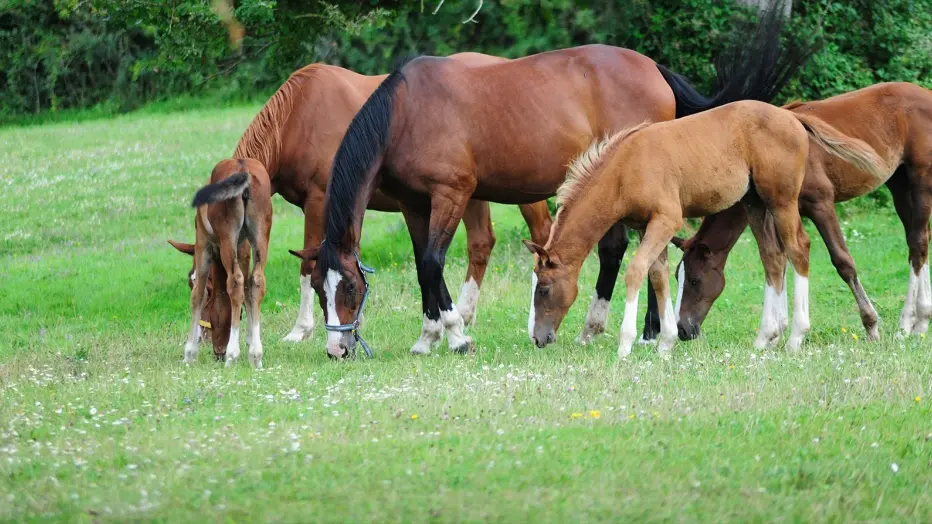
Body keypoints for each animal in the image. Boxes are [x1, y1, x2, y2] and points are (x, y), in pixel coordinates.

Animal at [180, 159, 272, 368]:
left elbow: (198, 294)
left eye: (190, 279)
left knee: (235, 282)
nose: (217, 352)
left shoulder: (203, 244)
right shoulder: (243, 249)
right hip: (261, 237)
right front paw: (250, 343)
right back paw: (256, 355)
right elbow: (248, 293)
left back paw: (232, 355)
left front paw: (189, 353)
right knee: (256, 282)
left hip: (227, 238)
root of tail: (243, 168)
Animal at [290, 1, 816, 356]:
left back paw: (640, 332)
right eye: (319, 288)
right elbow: (424, 264)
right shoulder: (412, 203)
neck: (406, 112)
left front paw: (456, 334)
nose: (337, 349)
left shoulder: (451, 195)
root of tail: (652, 67)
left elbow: (434, 263)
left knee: (624, 253)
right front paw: (428, 335)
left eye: (350, 289)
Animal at [524, 100, 888, 358]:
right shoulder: (646, 225)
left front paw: (626, 344)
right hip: (754, 203)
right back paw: (765, 337)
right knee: (772, 257)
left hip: (782, 200)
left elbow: (636, 270)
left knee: (798, 249)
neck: (624, 170)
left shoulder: (666, 219)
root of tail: (792, 118)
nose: (538, 338)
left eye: (543, 290)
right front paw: (666, 342)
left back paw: (796, 336)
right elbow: (657, 275)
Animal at [668, 82, 932, 342]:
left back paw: (908, 324)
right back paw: (920, 320)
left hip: (920, 180)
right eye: (676, 277)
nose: (683, 330)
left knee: (918, 242)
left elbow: (842, 261)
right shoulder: (775, 211)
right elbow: (780, 260)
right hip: (899, 184)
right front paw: (778, 331)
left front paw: (871, 325)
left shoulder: (821, 204)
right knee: (918, 241)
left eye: (695, 280)